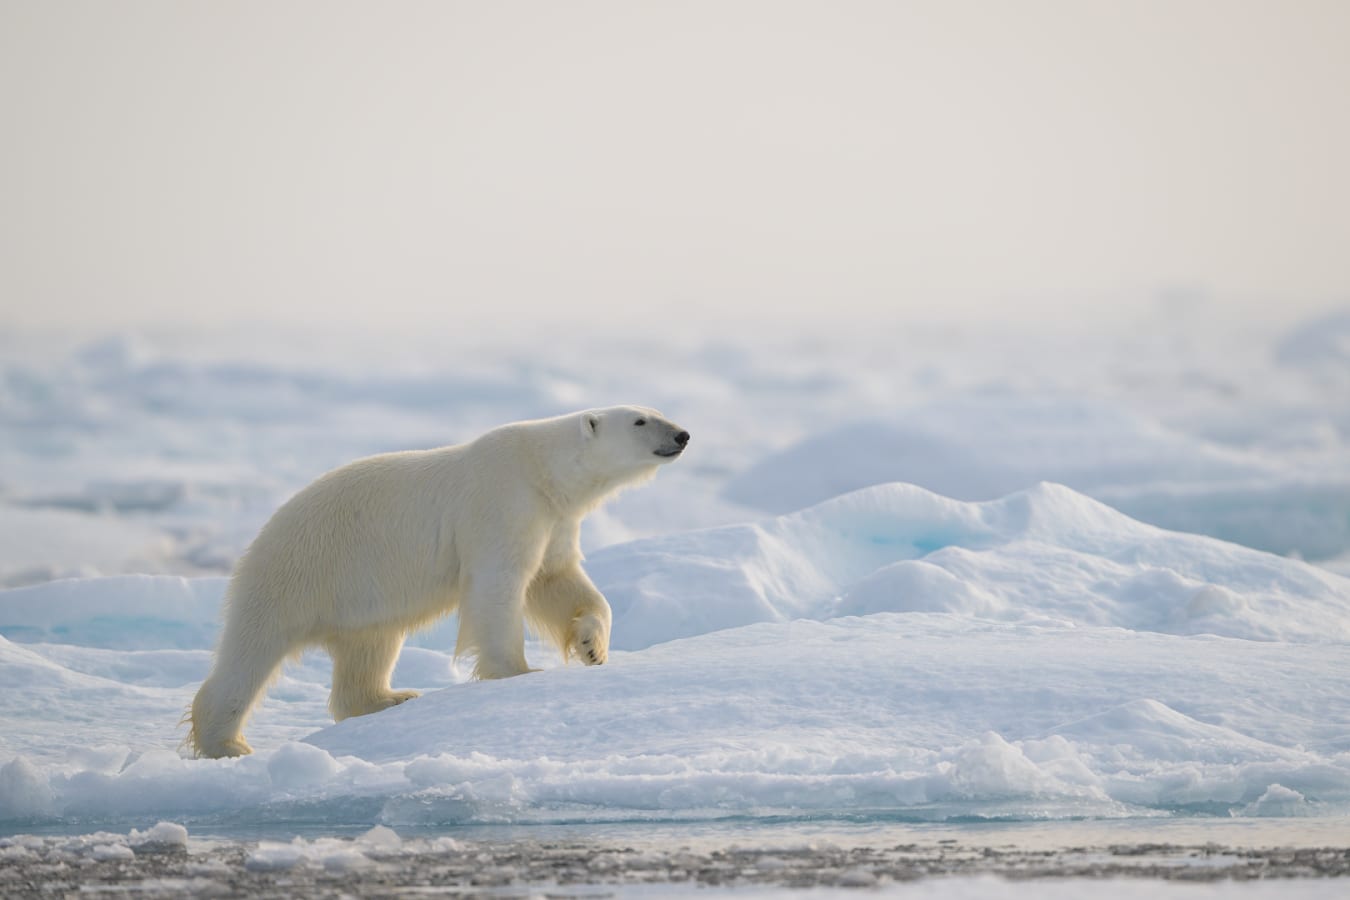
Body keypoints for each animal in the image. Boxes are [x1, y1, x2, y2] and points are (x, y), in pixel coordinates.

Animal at [186, 406, 689, 759]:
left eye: (656, 411)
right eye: (640, 419)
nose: (682, 435)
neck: (542, 469)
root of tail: (260, 537)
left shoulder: (554, 518)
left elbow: (559, 579)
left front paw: (592, 646)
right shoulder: (503, 501)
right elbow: (500, 584)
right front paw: (519, 673)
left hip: (360, 598)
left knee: (370, 647)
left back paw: (390, 697)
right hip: (298, 572)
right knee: (252, 652)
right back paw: (226, 743)